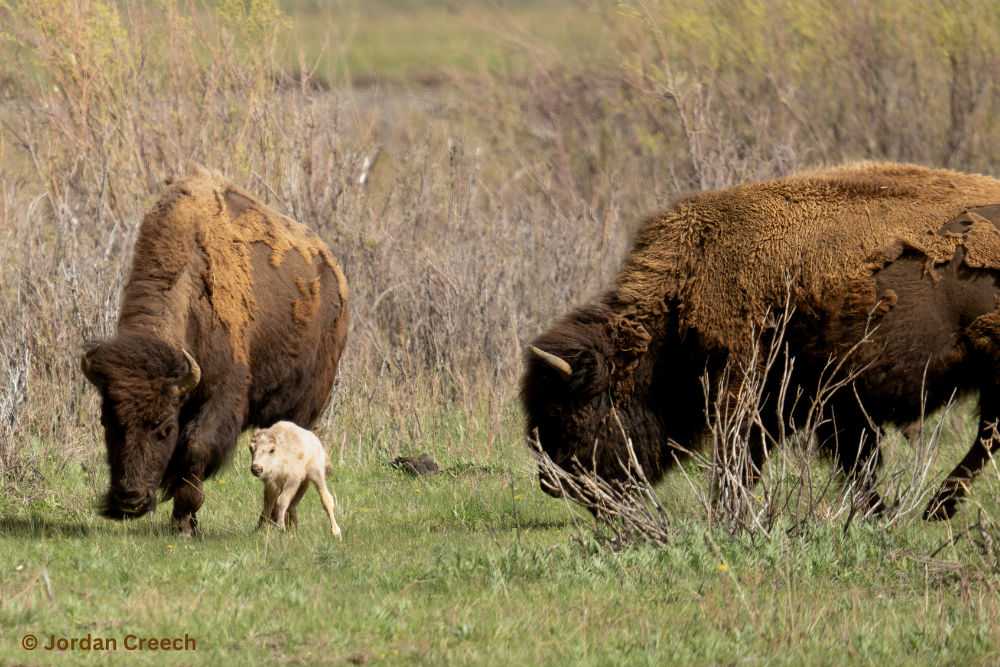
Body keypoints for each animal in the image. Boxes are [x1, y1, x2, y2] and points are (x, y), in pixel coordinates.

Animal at [81, 166, 352, 536]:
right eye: (106, 421)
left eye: (166, 427)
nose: (130, 500)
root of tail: (332, 271)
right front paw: (188, 523)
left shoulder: (222, 396)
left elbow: (196, 448)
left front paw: (184, 525)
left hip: (306, 401)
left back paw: (282, 521)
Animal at [520, 162, 1000, 520]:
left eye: (565, 409)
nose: (551, 483)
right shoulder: (836, 405)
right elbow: (854, 464)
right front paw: (874, 513)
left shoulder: (748, 389)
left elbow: (740, 455)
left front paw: (725, 512)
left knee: (987, 437)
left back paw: (938, 509)